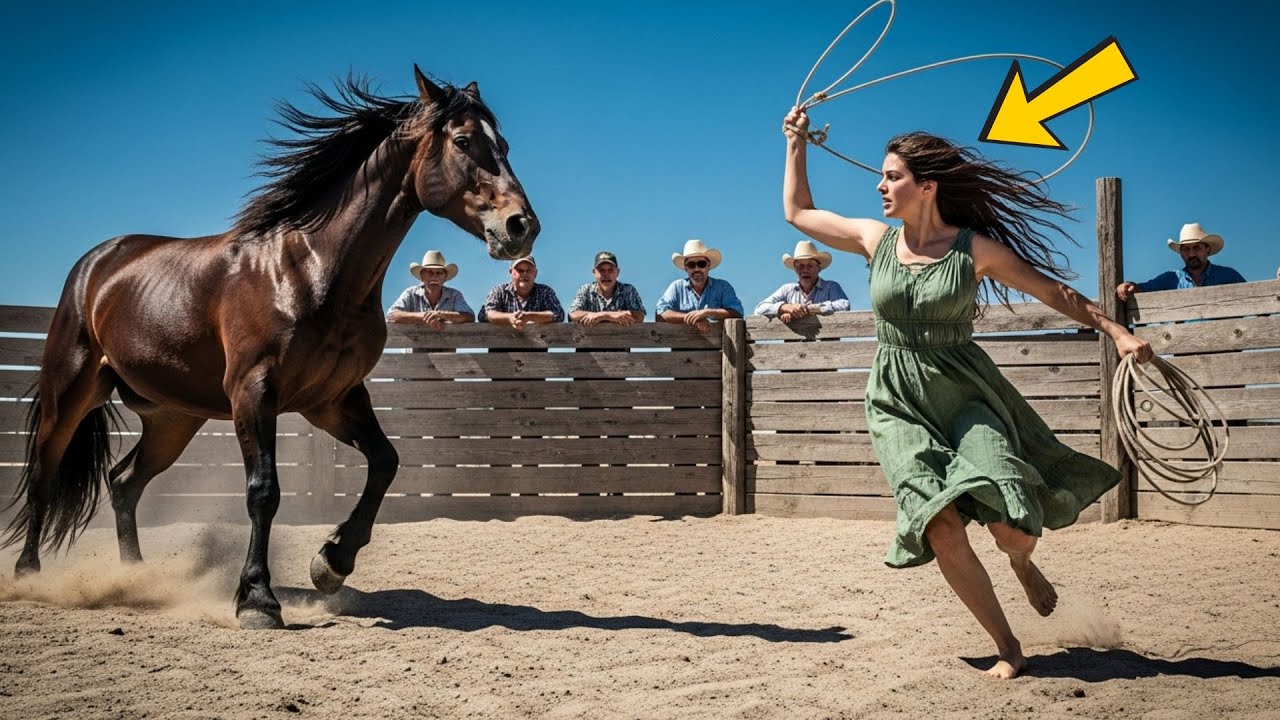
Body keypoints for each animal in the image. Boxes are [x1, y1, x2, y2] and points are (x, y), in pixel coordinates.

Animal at [2, 65, 539, 629]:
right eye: (463, 141)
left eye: (503, 144)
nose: (521, 226)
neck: (310, 270)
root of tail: (98, 263)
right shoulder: (254, 393)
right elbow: (264, 491)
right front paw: (258, 599)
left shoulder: (334, 400)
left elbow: (385, 462)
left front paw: (331, 563)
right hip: (70, 393)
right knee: (43, 475)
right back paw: (29, 574)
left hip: (173, 418)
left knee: (124, 482)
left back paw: (136, 579)